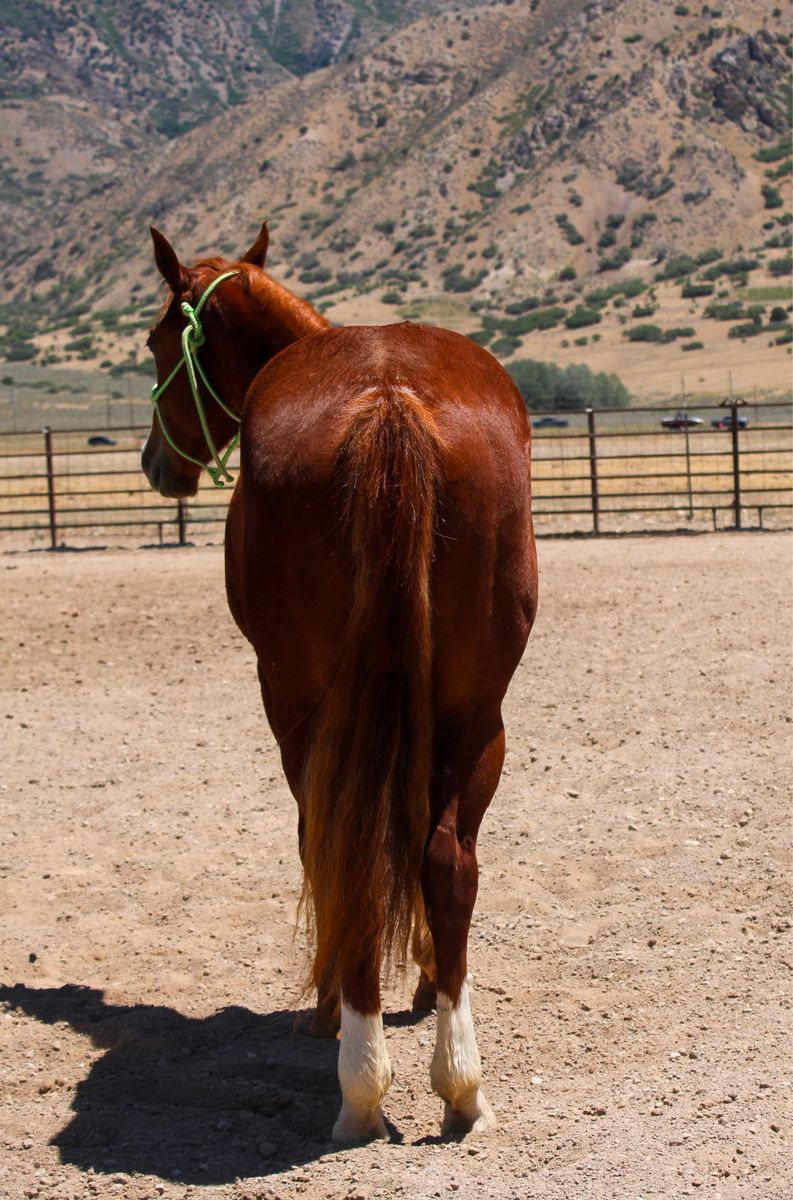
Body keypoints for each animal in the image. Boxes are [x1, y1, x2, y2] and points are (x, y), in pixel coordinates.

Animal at [142, 223, 538, 1142]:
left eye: (154, 344)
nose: (156, 464)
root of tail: (388, 401)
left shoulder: (294, 710)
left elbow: (314, 839)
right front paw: (423, 974)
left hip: (302, 702)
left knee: (345, 847)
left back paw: (359, 1080)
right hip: (479, 712)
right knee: (447, 858)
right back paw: (460, 1084)